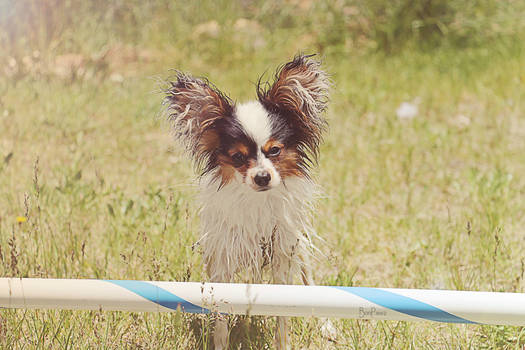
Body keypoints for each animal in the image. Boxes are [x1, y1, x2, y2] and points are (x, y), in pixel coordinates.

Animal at [165, 54, 328, 350]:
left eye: (274, 151)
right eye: (238, 157)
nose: (262, 177)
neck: (256, 202)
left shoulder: (282, 252)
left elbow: (283, 316)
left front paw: (283, 343)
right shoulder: (223, 254)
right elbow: (220, 318)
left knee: (309, 281)